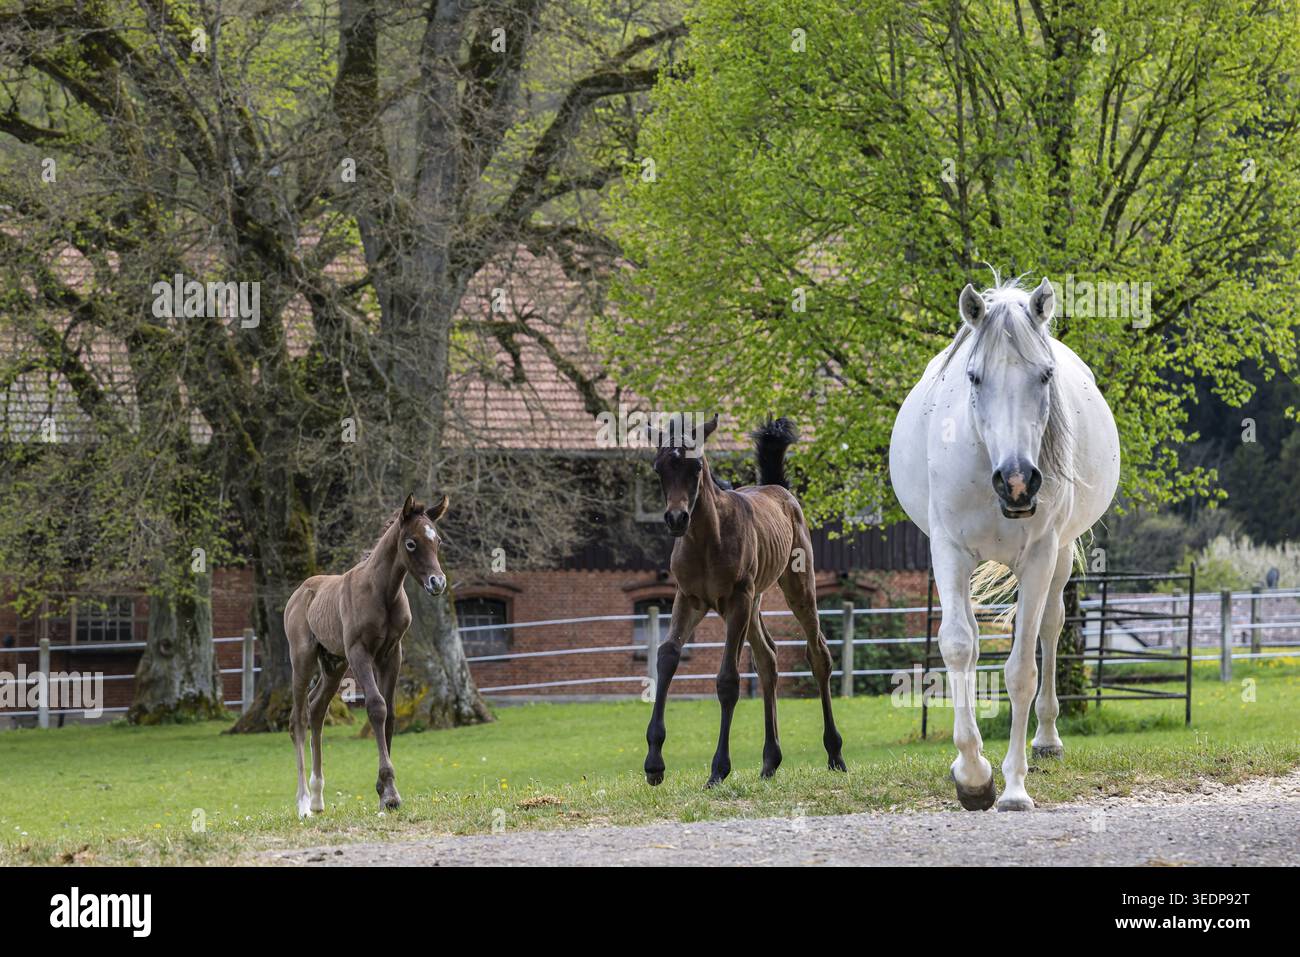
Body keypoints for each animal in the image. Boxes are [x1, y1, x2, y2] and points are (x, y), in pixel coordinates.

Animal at [283, 493, 449, 817]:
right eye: (411, 543)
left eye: (437, 541)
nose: (437, 582)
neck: (383, 592)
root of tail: (298, 593)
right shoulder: (360, 652)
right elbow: (376, 706)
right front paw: (389, 793)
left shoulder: (392, 653)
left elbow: (392, 713)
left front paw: (385, 792)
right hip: (303, 659)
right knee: (298, 718)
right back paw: (304, 803)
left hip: (334, 664)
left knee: (316, 709)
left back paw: (319, 797)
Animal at [643, 414, 847, 788]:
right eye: (659, 467)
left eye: (696, 466)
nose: (676, 518)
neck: (707, 540)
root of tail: (778, 489)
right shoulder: (688, 598)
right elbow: (666, 657)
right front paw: (654, 764)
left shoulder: (737, 598)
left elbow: (728, 680)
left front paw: (718, 769)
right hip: (752, 604)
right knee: (767, 658)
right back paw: (770, 762)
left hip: (795, 586)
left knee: (818, 655)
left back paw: (835, 753)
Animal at [889, 276, 1119, 811]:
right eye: (974, 378)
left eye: (1045, 375)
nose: (1017, 483)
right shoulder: (948, 551)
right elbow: (958, 646)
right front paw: (973, 776)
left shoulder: (1039, 555)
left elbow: (1021, 672)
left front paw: (1013, 787)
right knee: (975, 640)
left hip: (1059, 556)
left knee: (1051, 627)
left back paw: (1047, 741)